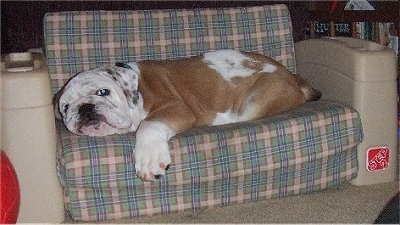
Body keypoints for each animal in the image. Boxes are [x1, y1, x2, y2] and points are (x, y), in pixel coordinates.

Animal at [54, 49, 322, 181]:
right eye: (66, 107)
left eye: (103, 92)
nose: (84, 107)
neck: (136, 90)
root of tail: (294, 78)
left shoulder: (175, 108)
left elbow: (148, 125)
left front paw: (149, 159)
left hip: (256, 100)